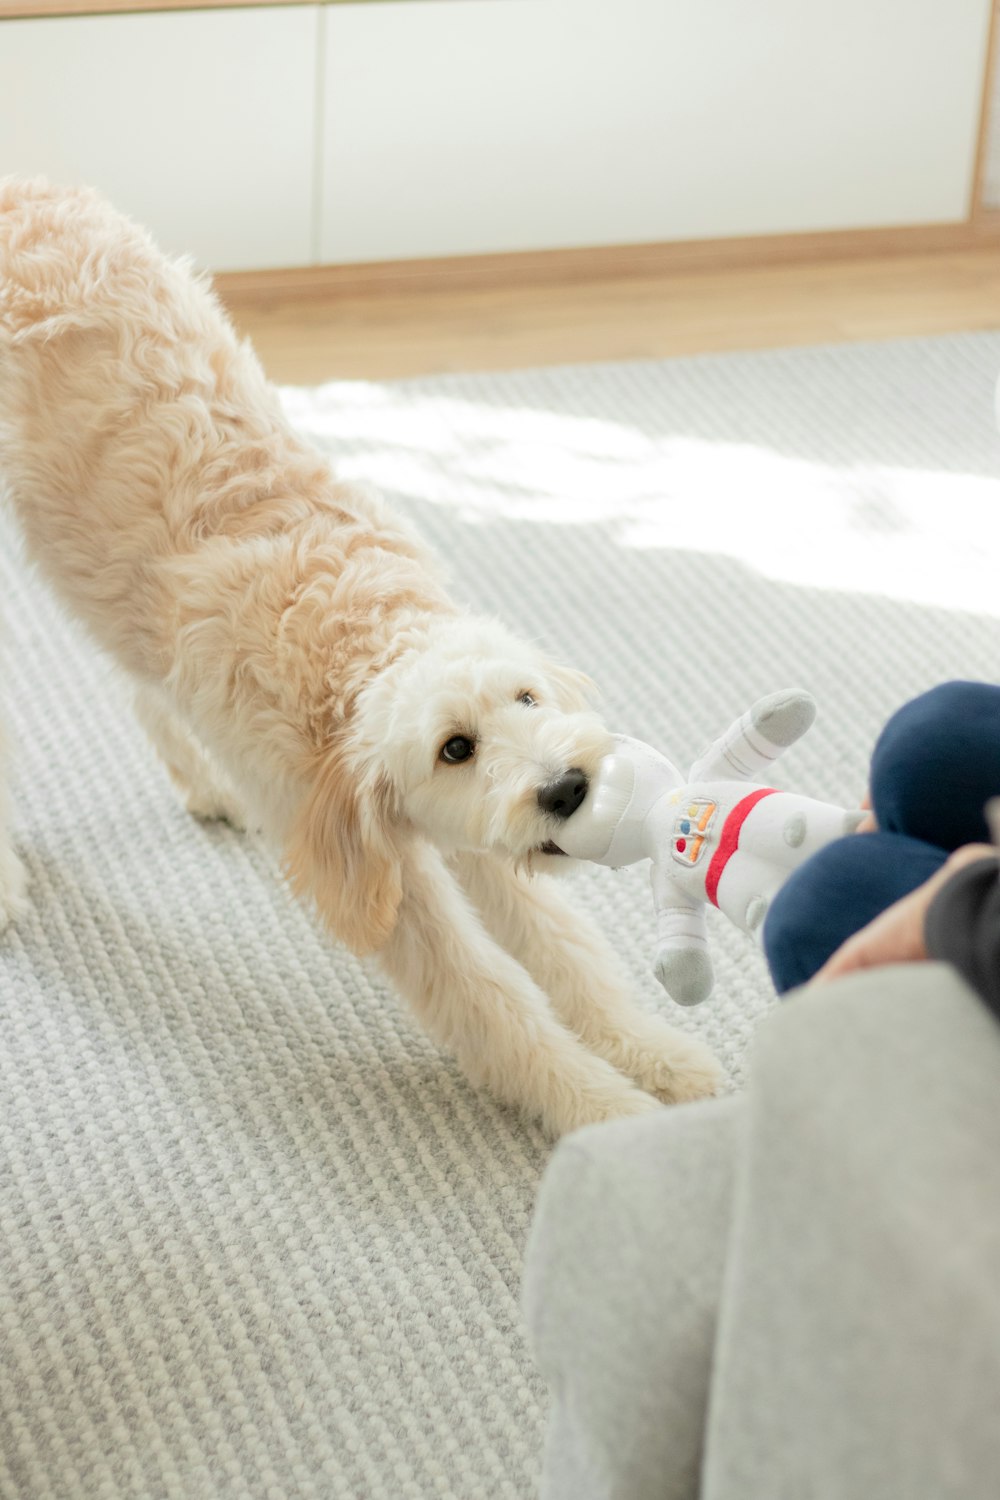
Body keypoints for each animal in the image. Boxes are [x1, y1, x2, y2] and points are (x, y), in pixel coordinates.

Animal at [0, 178, 719, 1134]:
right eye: (454, 748)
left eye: (527, 699)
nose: (568, 788)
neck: (351, 638)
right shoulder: (392, 886)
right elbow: (495, 1003)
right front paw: (609, 1112)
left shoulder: (486, 846)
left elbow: (568, 956)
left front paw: (658, 1055)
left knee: (145, 683)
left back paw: (205, 783)